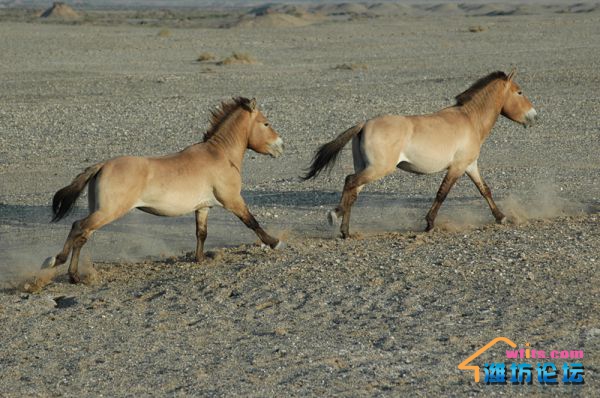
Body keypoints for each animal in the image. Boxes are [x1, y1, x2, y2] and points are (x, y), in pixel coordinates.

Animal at [42, 96, 286, 282]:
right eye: (265, 123)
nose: (281, 146)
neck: (220, 155)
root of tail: (102, 165)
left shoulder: (203, 207)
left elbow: (201, 233)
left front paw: (199, 259)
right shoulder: (232, 200)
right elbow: (251, 222)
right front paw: (274, 242)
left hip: (100, 211)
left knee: (82, 235)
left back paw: (74, 276)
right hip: (108, 212)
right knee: (78, 227)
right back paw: (56, 262)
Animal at [304, 70, 540, 238]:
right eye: (519, 92)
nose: (535, 117)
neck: (469, 119)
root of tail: (364, 124)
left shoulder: (470, 165)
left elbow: (485, 190)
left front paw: (501, 217)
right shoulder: (457, 167)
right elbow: (442, 193)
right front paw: (429, 224)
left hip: (367, 168)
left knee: (352, 190)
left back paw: (344, 230)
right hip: (377, 169)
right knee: (350, 182)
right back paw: (335, 218)